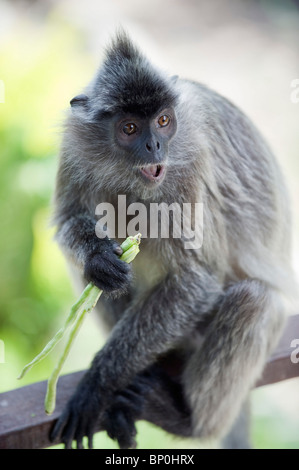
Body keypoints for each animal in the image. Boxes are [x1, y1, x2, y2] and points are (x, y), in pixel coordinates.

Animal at [51, 31, 296, 450]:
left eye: (163, 121)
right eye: (130, 128)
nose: (154, 146)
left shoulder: (190, 168)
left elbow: (196, 281)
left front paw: (98, 383)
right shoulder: (74, 148)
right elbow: (69, 224)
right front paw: (98, 258)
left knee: (252, 300)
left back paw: (186, 421)